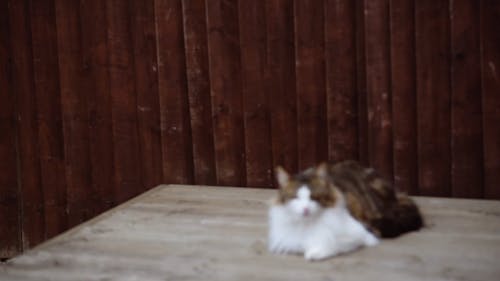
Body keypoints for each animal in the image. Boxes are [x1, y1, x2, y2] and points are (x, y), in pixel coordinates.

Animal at [268, 160, 424, 260]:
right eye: (295, 197)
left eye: (314, 197)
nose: (305, 209)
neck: (307, 225)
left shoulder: (363, 233)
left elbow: (332, 245)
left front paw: (314, 253)